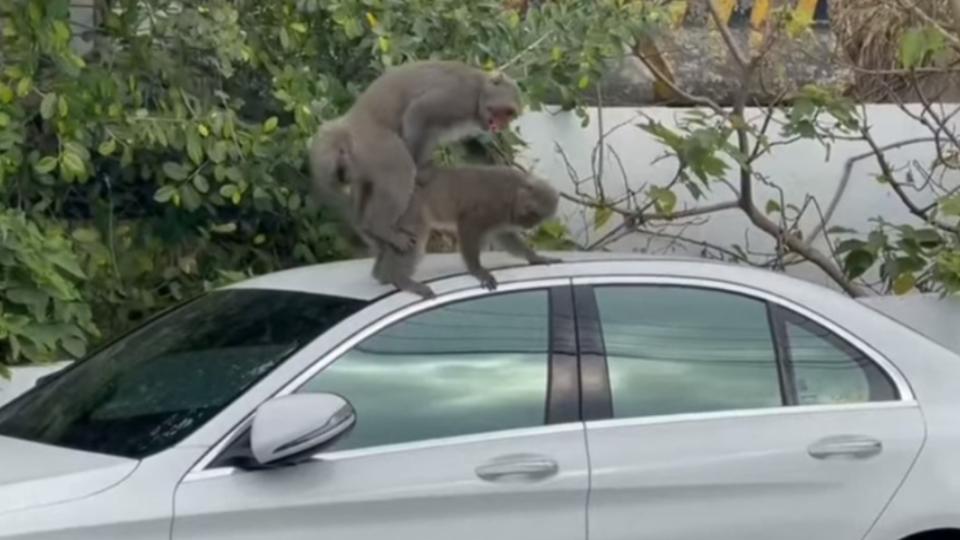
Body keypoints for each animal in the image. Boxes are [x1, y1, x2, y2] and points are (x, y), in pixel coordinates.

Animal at [310, 60, 524, 258]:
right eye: (505, 111)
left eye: (510, 115)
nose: (503, 125)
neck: (480, 89)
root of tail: (345, 128)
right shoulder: (460, 96)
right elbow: (420, 112)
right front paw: (420, 168)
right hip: (373, 143)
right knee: (401, 167)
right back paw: (381, 227)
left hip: (360, 160)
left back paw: (368, 230)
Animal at [368, 165, 564, 300]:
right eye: (532, 213)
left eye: (538, 218)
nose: (527, 225)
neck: (514, 192)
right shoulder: (493, 204)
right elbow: (469, 225)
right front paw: (477, 270)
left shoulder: (503, 215)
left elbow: (503, 235)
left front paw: (536, 257)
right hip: (411, 208)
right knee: (414, 239)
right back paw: (400, 279)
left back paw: (382, 275)